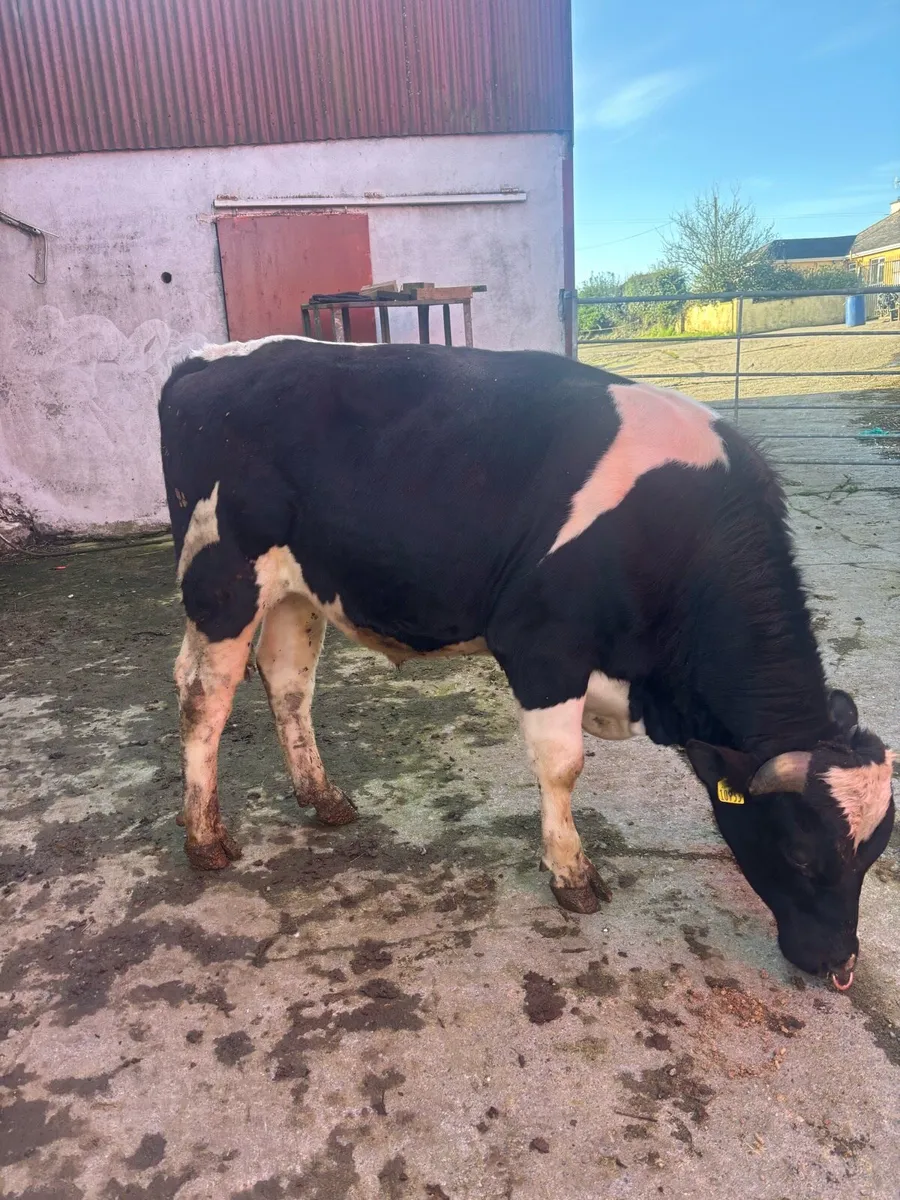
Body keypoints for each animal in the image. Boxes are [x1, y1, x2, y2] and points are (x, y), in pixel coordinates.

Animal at [158, 337, 894, 991]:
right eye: (800, 853)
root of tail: (208, 359)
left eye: (876, 850)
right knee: (204, 693)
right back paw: (206, 837)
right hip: (221, 580)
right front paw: (572, 874)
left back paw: (323, 797)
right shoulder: (543, 645)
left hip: (296, 587)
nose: (841, 966)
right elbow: (563, 765)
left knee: (287, 681)